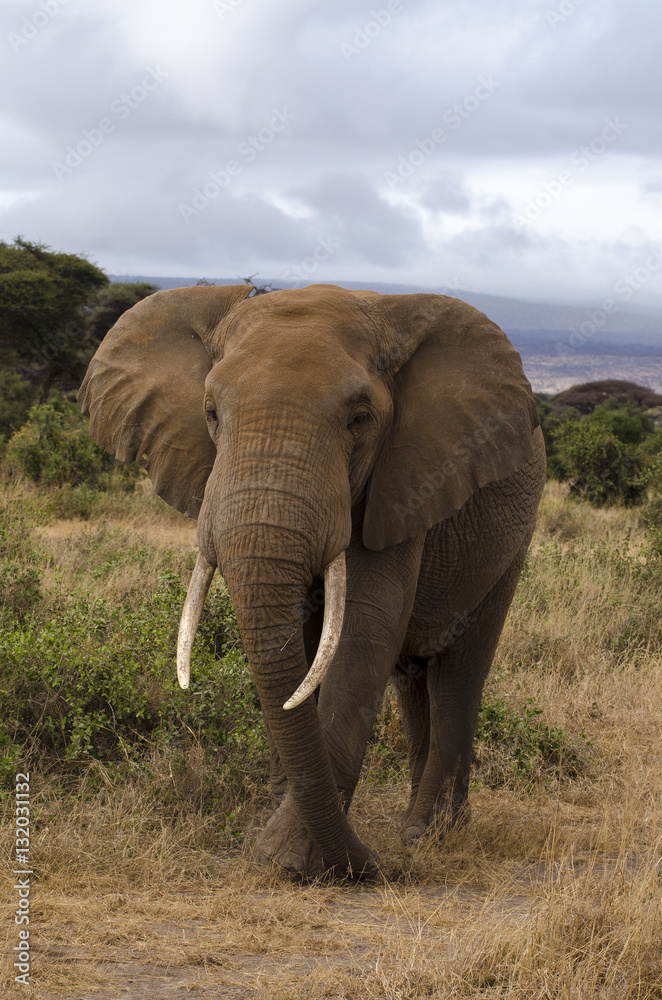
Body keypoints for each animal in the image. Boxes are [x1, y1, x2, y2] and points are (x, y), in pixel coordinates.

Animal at [78, 282, 548, 876]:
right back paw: (413, 829)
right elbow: (296, 645)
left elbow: (365, 627)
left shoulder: (405, 480)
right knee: (414, 677)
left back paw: (428, 834)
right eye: (210, 412)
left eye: (360, 418)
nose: (371, 866)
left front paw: (290, 860)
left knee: (460, 671)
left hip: (512, 538)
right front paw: (279, 841)